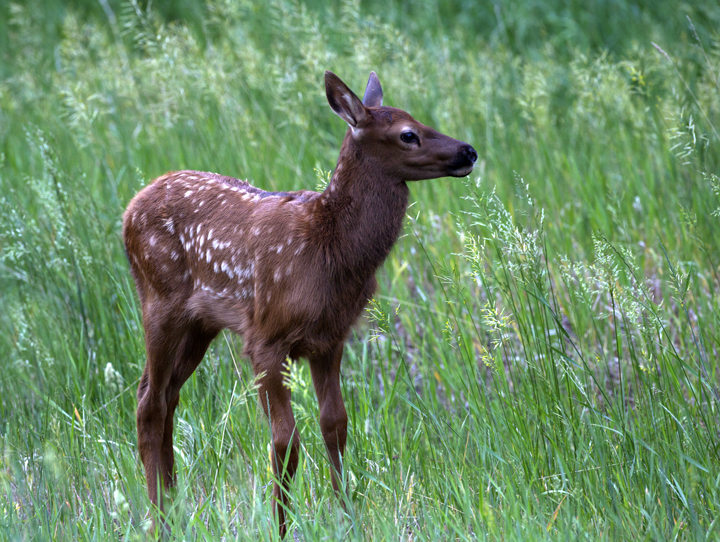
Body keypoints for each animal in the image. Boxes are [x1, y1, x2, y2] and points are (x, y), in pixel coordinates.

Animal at [123, 70, 477, 537]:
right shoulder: (265, 337)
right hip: (160, 301)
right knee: (149, 401)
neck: (330, 250)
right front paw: (280, 528)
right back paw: (160, 521)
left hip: (200, 323)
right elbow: (284, 439)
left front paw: (348, 518)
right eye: (408, 134)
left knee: (165, 396)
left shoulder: (330, 338)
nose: (468, 151)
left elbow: (335, 425)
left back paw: (173, 512)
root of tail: (127, 212)